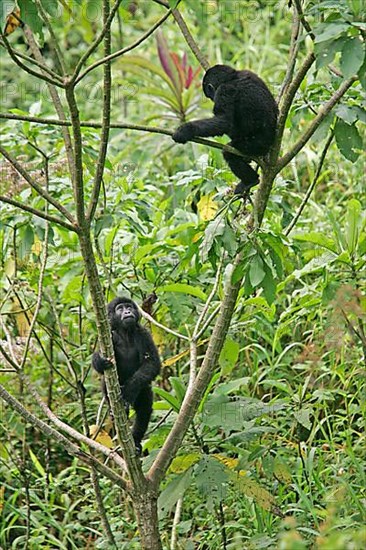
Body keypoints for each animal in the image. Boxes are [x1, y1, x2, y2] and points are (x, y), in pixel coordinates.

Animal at [91, 300, 160, 454]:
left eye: (129, 307)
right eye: (120, 309)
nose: (127, 312)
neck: (126, 333)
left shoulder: (144, 334)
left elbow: (152, 363)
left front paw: (129, 390)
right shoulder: (109, 335)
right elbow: (100, 363)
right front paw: (99, 361)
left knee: (144, 407)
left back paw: (136, 440)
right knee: (105, 382)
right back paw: (113, 410)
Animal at [172, 64, 278, 195]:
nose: (212, 98)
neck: (233, 77)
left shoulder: (224, 90)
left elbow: (223, 121)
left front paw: (185, 130)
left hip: (255, 145)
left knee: (229, 152)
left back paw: (251, 180)